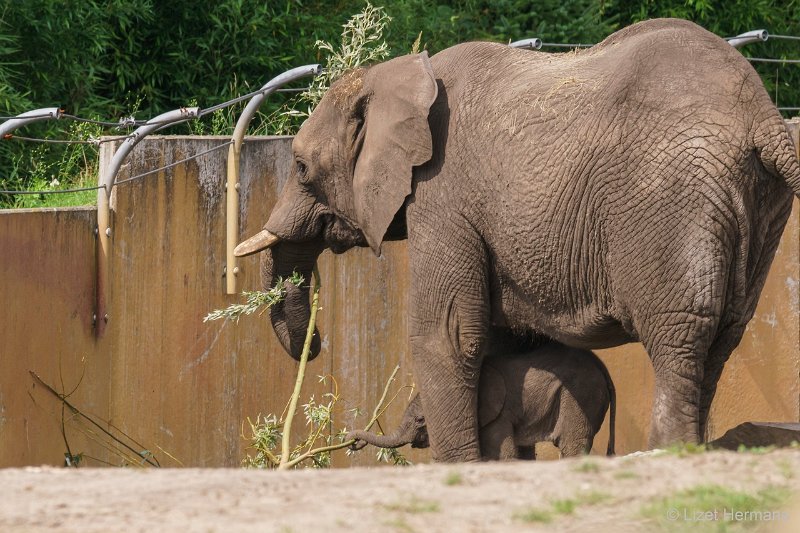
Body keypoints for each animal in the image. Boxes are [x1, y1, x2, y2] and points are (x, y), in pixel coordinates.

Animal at [346, 342, 616, 460]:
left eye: (421, 420)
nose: (352, 442)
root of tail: (603, 368)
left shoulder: (499, 414)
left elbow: (503, 453)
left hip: (582, 394)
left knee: (572, 444)